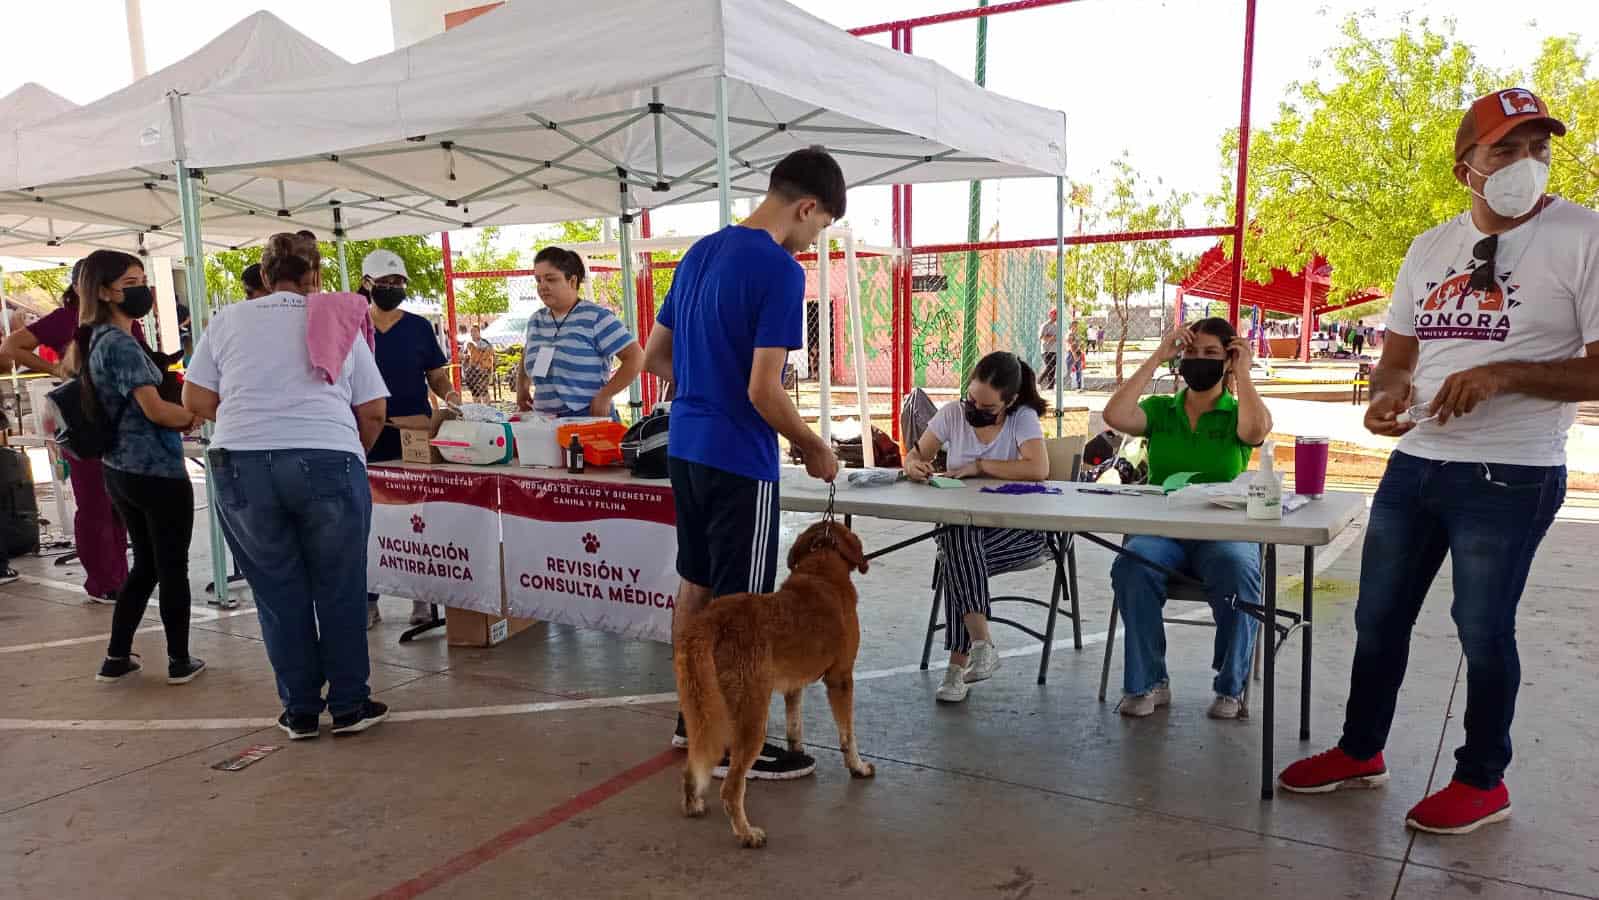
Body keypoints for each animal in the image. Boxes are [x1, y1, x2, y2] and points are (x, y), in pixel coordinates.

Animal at [674, 517, 876, 850]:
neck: (822, 569)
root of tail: (712, 621)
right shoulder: (841, 679)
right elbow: (848, 735)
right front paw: (857, 766)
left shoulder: (794, 685)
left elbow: (795, 725)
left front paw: (796, 752)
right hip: (752, 712)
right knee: (731, 787)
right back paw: (746, 833)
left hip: (700, 705)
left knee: (693, 762)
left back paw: (693, 803)